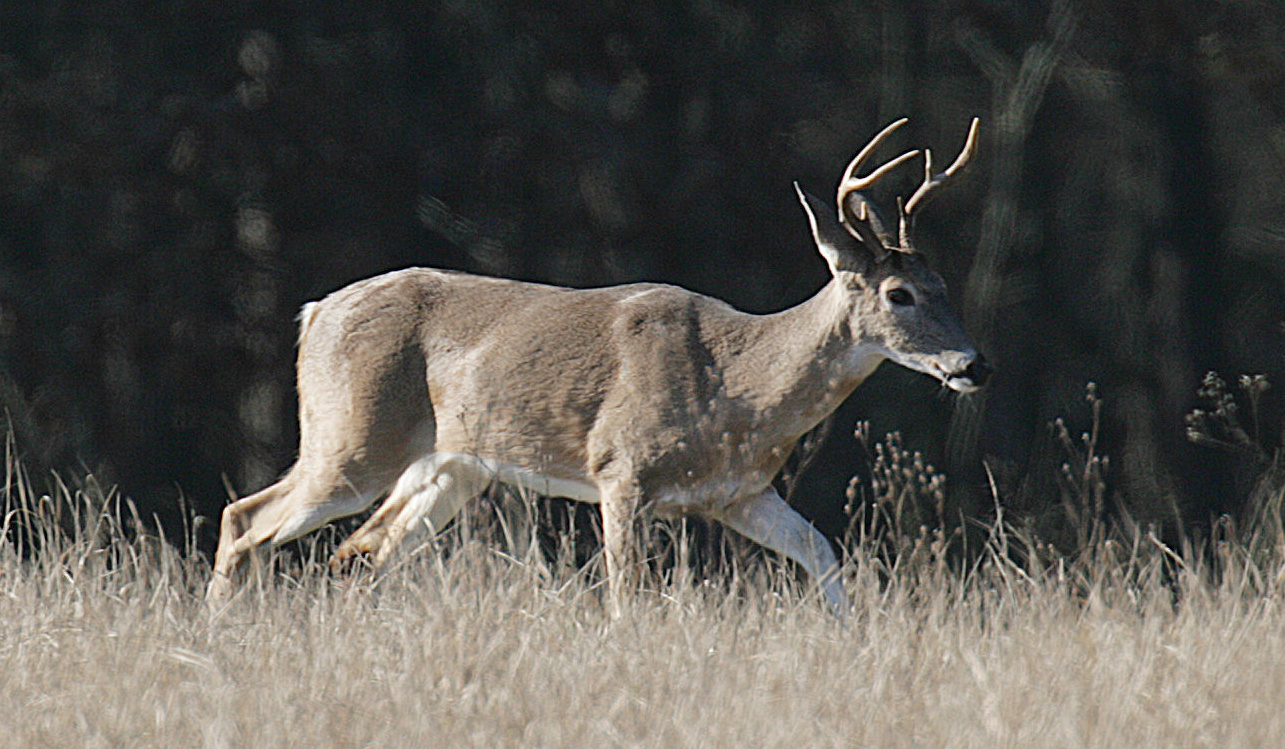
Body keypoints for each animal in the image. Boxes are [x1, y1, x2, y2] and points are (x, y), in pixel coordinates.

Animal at [206, 118, 989, 617]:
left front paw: (851, 636)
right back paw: (216, 634)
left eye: (946, 283)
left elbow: (823, 551)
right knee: (247, 518)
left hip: (451, 465)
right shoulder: (622, 469)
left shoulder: (739, 492)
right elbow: (624, 597)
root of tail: (313, 313)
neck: (738, 384)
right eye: (898, 293)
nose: (973, 363)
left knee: (362, 551)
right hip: (351, 437)